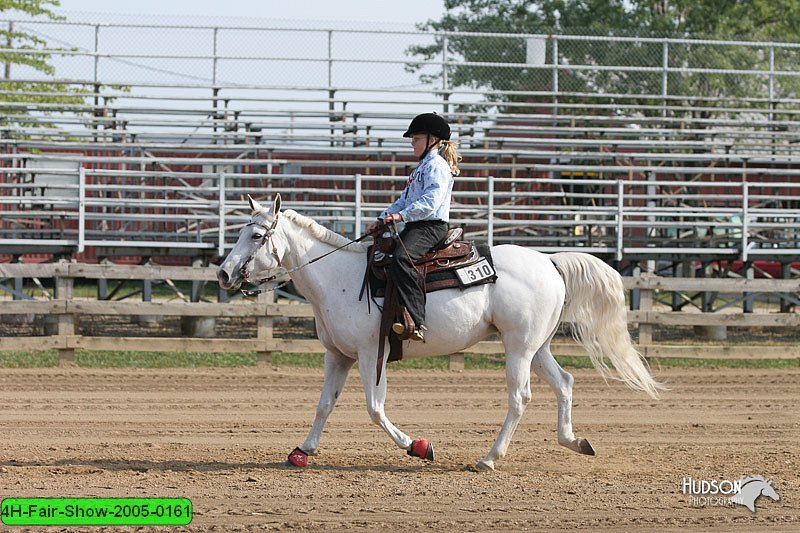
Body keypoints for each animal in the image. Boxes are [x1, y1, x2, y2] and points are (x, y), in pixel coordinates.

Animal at [217, 195, 664, 470]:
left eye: (256, 235)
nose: (222, 273)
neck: (338, 276)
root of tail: (551, 261)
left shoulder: (371, 354)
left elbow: (375, 409)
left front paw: (419, 447)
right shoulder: (338, 355)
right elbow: (325, 404)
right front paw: (301, 452)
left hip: (519, 348)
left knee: (520, 397)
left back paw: (489, 458)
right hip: (537, 348)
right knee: (566, 383)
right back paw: (574, 441)